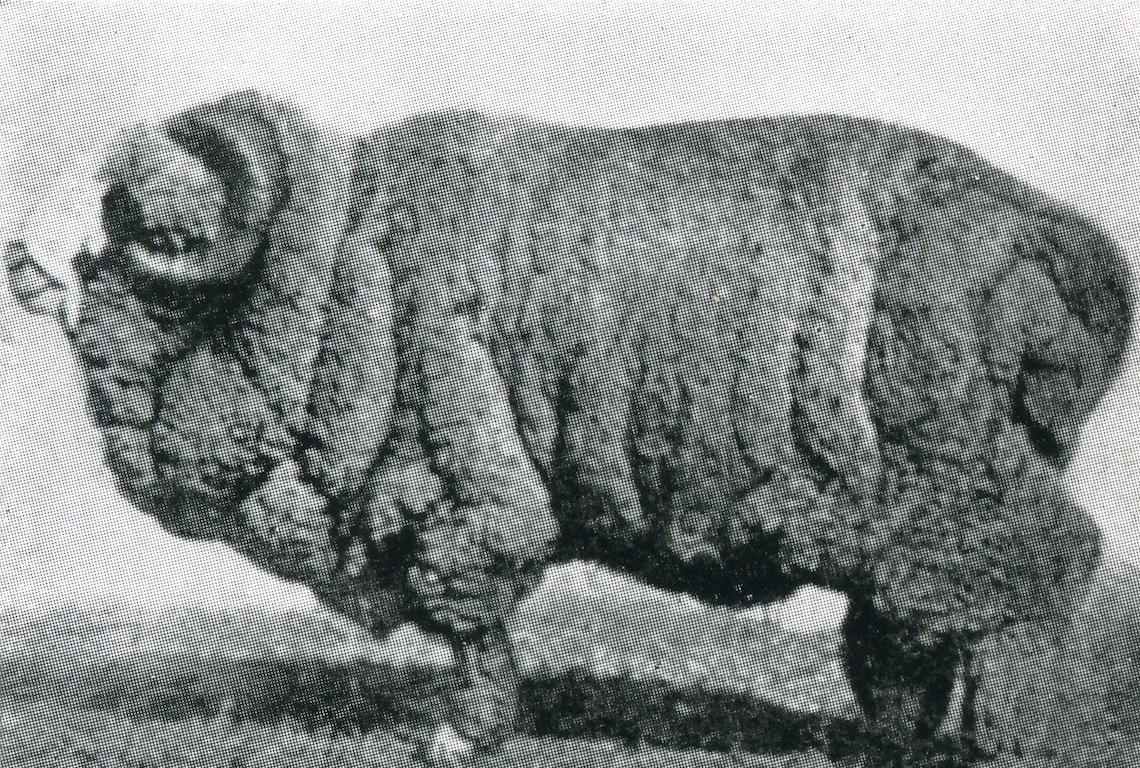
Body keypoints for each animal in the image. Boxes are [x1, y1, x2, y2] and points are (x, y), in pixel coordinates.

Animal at [6, 88, 1130, 761]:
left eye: (125, 220)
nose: (22, 263)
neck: (332, 274)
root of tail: (1061, 242)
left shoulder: (466, 484)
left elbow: (470, 618)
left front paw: (467, 736)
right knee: (914, 622)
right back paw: (896, 735)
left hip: (959, 469)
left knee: (1037, 571)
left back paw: (1010, 739)